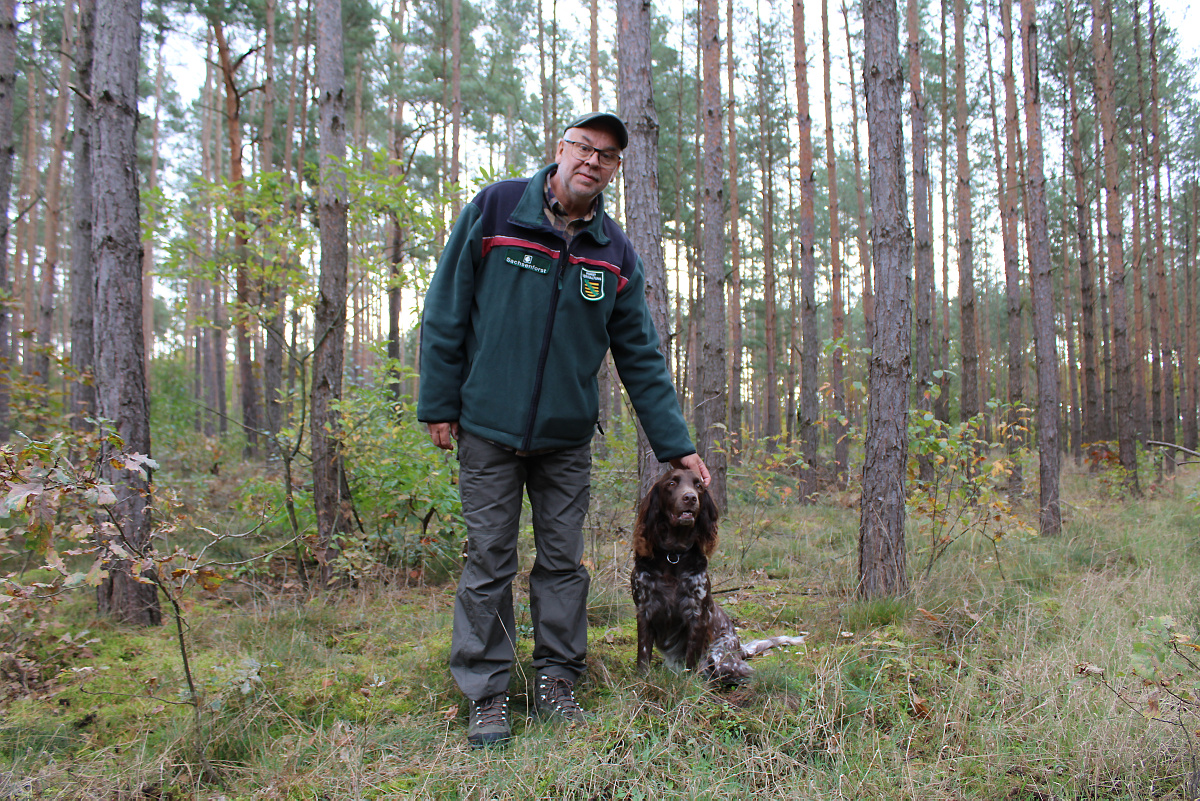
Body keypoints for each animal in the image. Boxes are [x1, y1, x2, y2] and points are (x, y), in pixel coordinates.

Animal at [628, 470, 806, 681]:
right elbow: (643, 654)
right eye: (671, 483)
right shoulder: (644, 609)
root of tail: (738, 647)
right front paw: (641, 679)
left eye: (699, 486)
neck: (673, 555)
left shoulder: (697, 613)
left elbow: (692, 659)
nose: (690, 498)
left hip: (721, 658)